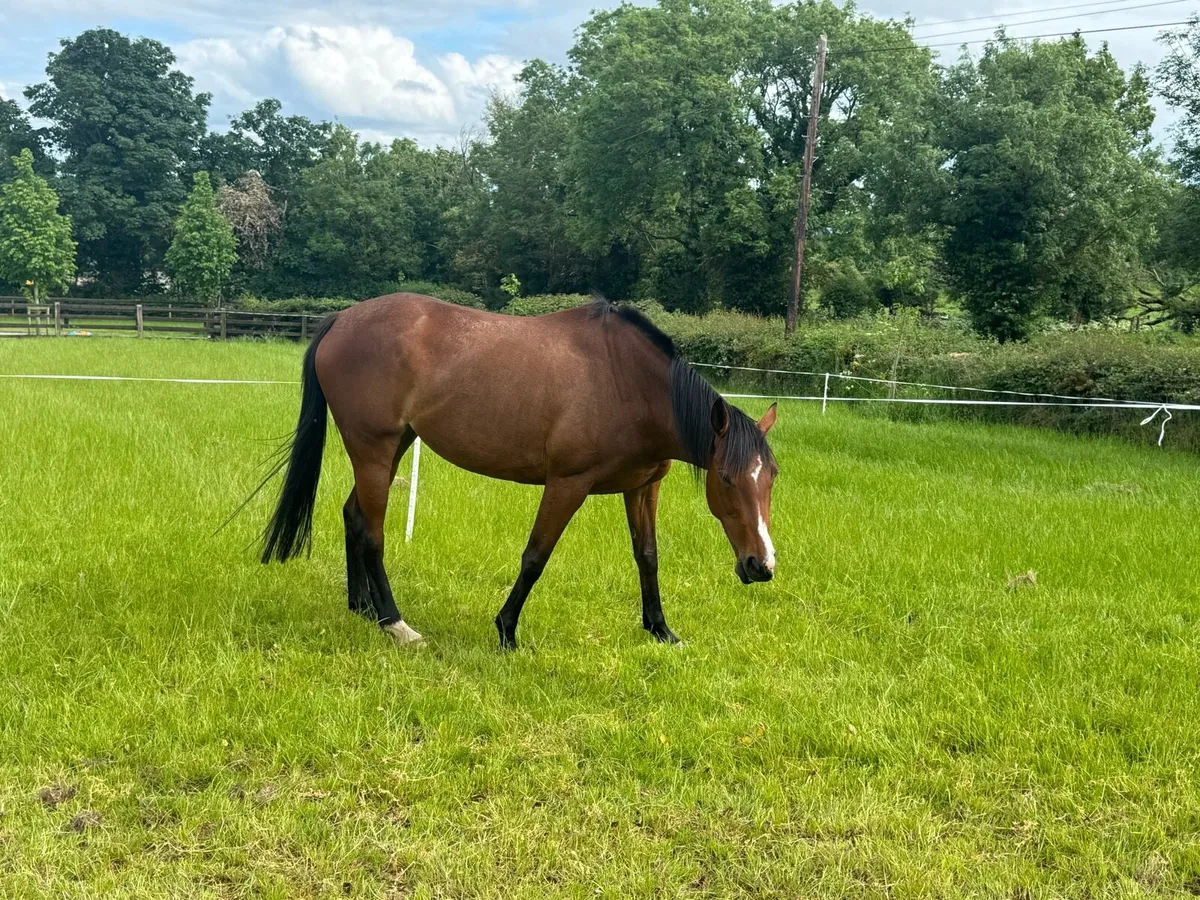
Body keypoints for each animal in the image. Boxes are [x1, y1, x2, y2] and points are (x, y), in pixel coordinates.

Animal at [259, 294, 778, 650]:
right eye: (727, 479)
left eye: (771, 477)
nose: (762, 566)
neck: (625, 381)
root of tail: (342, 319)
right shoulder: (568, 484)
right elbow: (535, 557)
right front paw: (507, 631)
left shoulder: (644, 487)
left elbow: (647, 556)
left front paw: (660, 629)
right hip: (373, 449)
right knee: (371, 532)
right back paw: (396, 623)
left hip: (393, 449)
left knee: (354, 516)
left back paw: (362, 609)